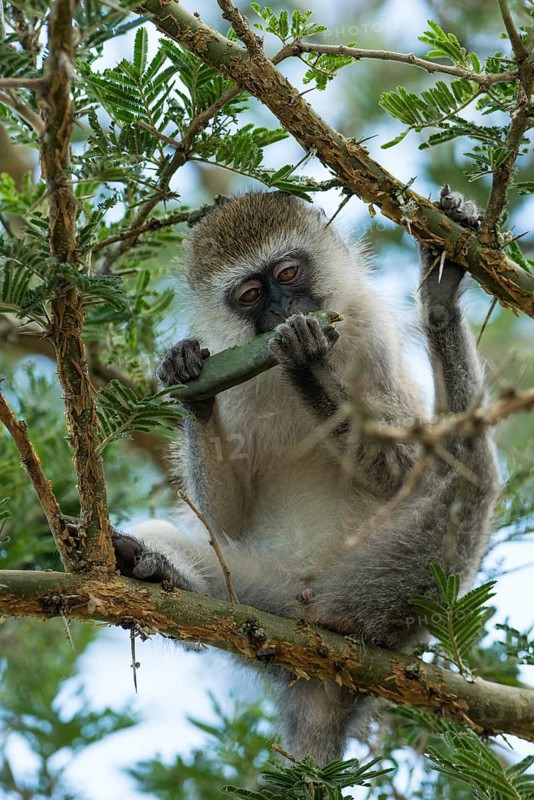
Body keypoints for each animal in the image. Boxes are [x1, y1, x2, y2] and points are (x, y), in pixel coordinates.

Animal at [113, 187, 500, 765]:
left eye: (289, 272)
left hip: (391, 585)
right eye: (251, 294)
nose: (283, 310)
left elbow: (407, 471)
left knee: (468, 471)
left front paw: (307, 365)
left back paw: (440, 301)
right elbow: (225, 518)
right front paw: (189, 377)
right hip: (259, 598)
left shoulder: (371, 333)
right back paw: (164, 572)